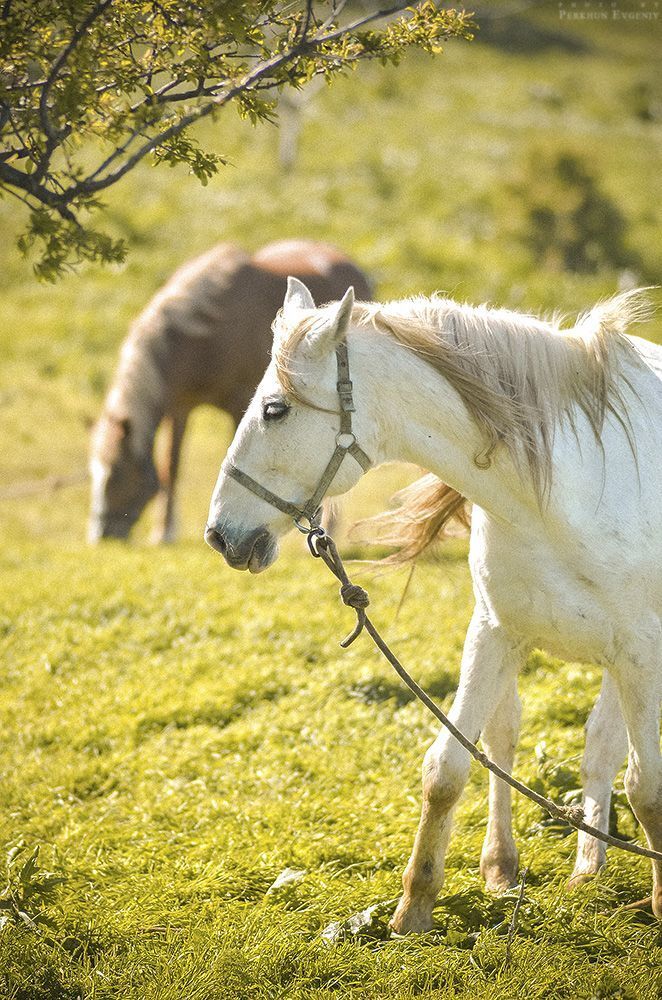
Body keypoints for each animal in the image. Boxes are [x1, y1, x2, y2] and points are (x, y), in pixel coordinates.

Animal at [88, 240, 371, 542]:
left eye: (117, 474)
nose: (100, 535)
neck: (206, 332)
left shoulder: (239, 402)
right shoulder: (180, 406)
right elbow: (171, 467)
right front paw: (164, 532)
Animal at [205, 277, 662, 933]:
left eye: (275, 410)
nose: (220, 535)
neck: (571, 489)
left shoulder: (641, 654)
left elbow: (648, 786)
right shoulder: (495, 633)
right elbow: (448, 768)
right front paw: (414, 908)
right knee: (554, 742)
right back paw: (555, 867)